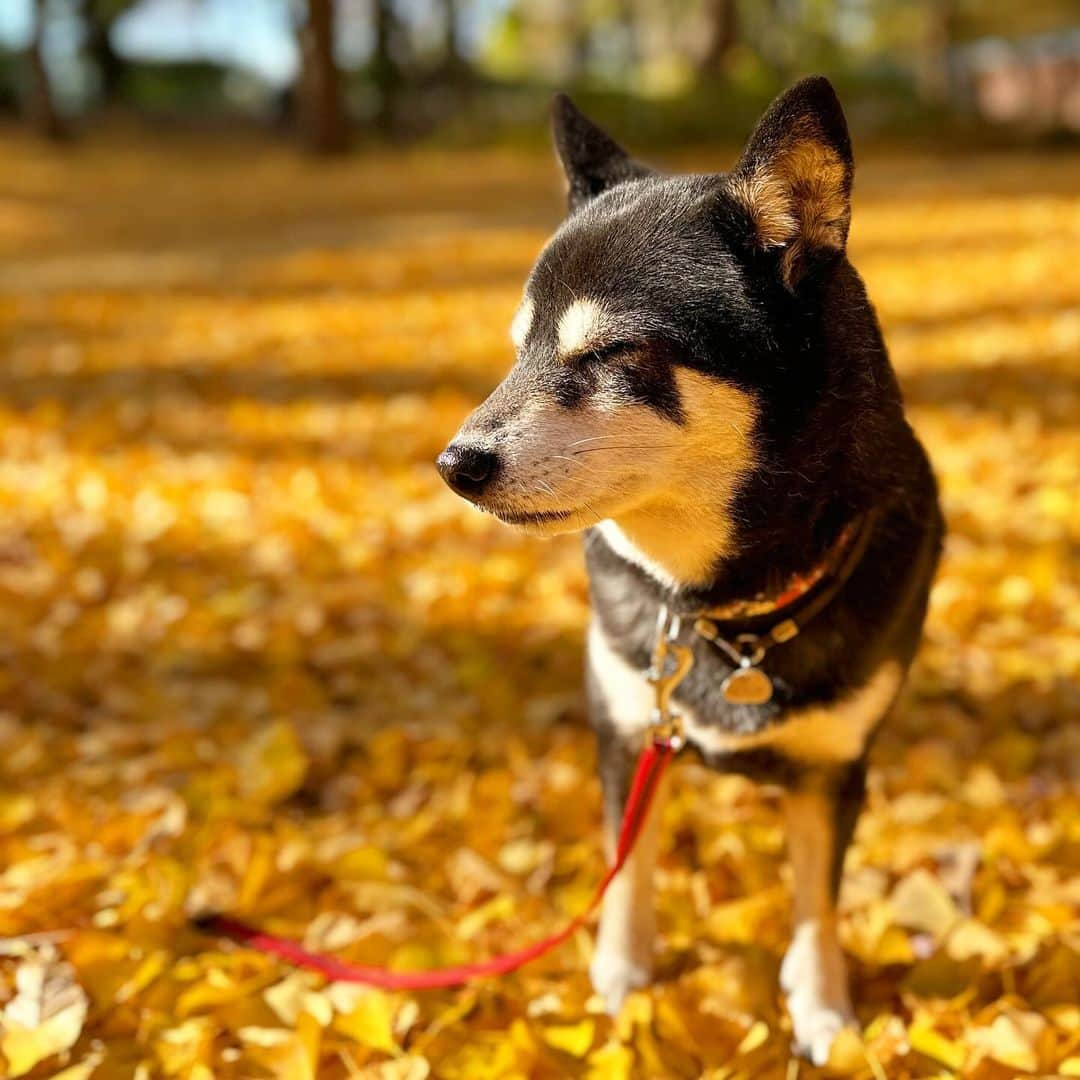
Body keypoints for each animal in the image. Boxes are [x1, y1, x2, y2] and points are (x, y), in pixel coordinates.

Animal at [434, 73, 941, 1062]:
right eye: (519, 349)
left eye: (611, 352)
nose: (455, 464)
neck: (719, 614)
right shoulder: (628, 731)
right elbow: (627, 870)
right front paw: (621, 982)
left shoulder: (833, 772)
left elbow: (816, 904)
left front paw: (822, 1011)